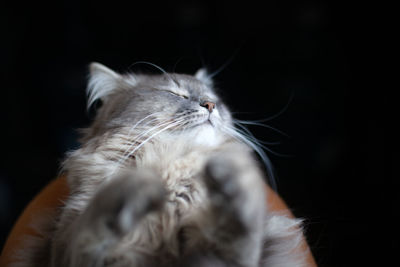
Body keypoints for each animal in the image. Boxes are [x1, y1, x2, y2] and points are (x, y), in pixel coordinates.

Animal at [11, 63, 306, 267]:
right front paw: (137, 186)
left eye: (214, 98)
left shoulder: (220, 255)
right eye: (174, 93)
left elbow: (236, 235)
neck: (174, 165)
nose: (210, 105)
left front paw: (234, 180)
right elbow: (91, 226)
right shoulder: (62, 248)